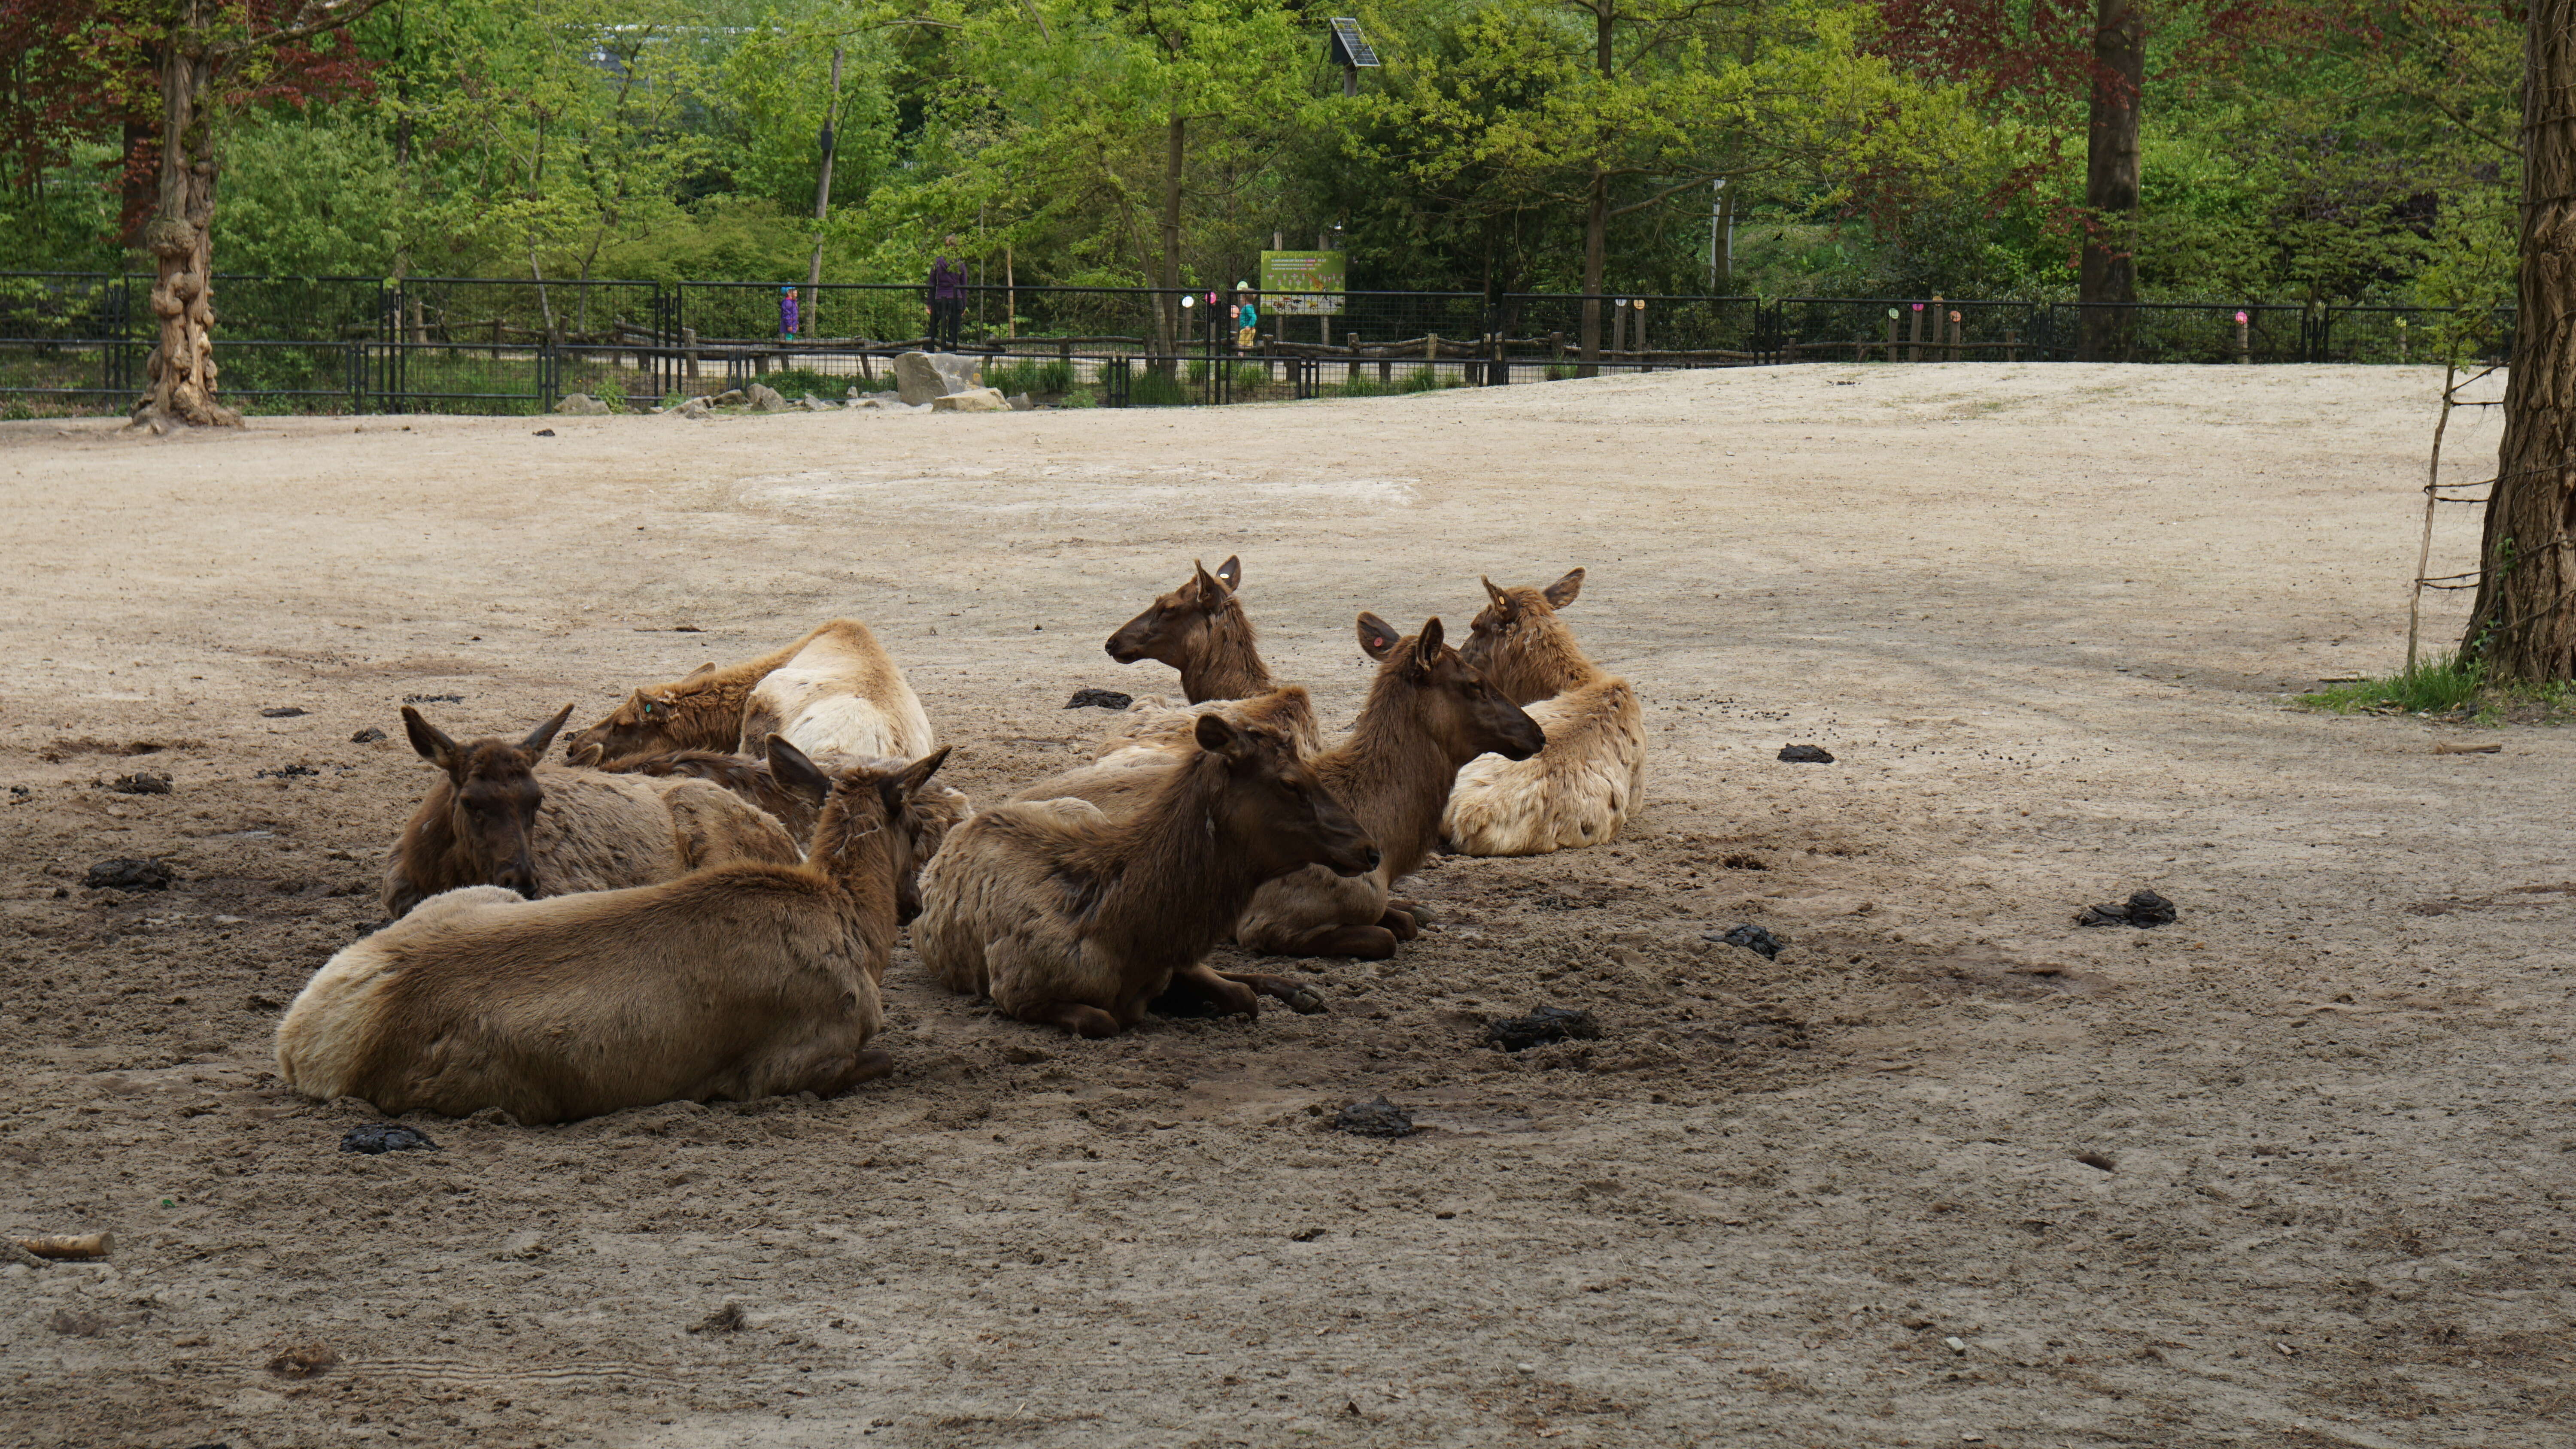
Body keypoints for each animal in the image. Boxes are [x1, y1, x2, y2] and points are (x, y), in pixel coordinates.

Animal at [274, 741, 958, 1127]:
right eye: (916, 827)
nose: (914, 901)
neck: (855, 924)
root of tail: (297, 1042)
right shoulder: (791, 1065)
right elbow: (882, 1058)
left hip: (479, 898)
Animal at [912, 710, 1381, 1029]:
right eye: (1290, 782)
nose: (1371, 849)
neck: (1124, 933)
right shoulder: (1014, 990)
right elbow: (1103, 1020)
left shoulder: (1166, 965)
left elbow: (1239, 995)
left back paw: (1301, 990)